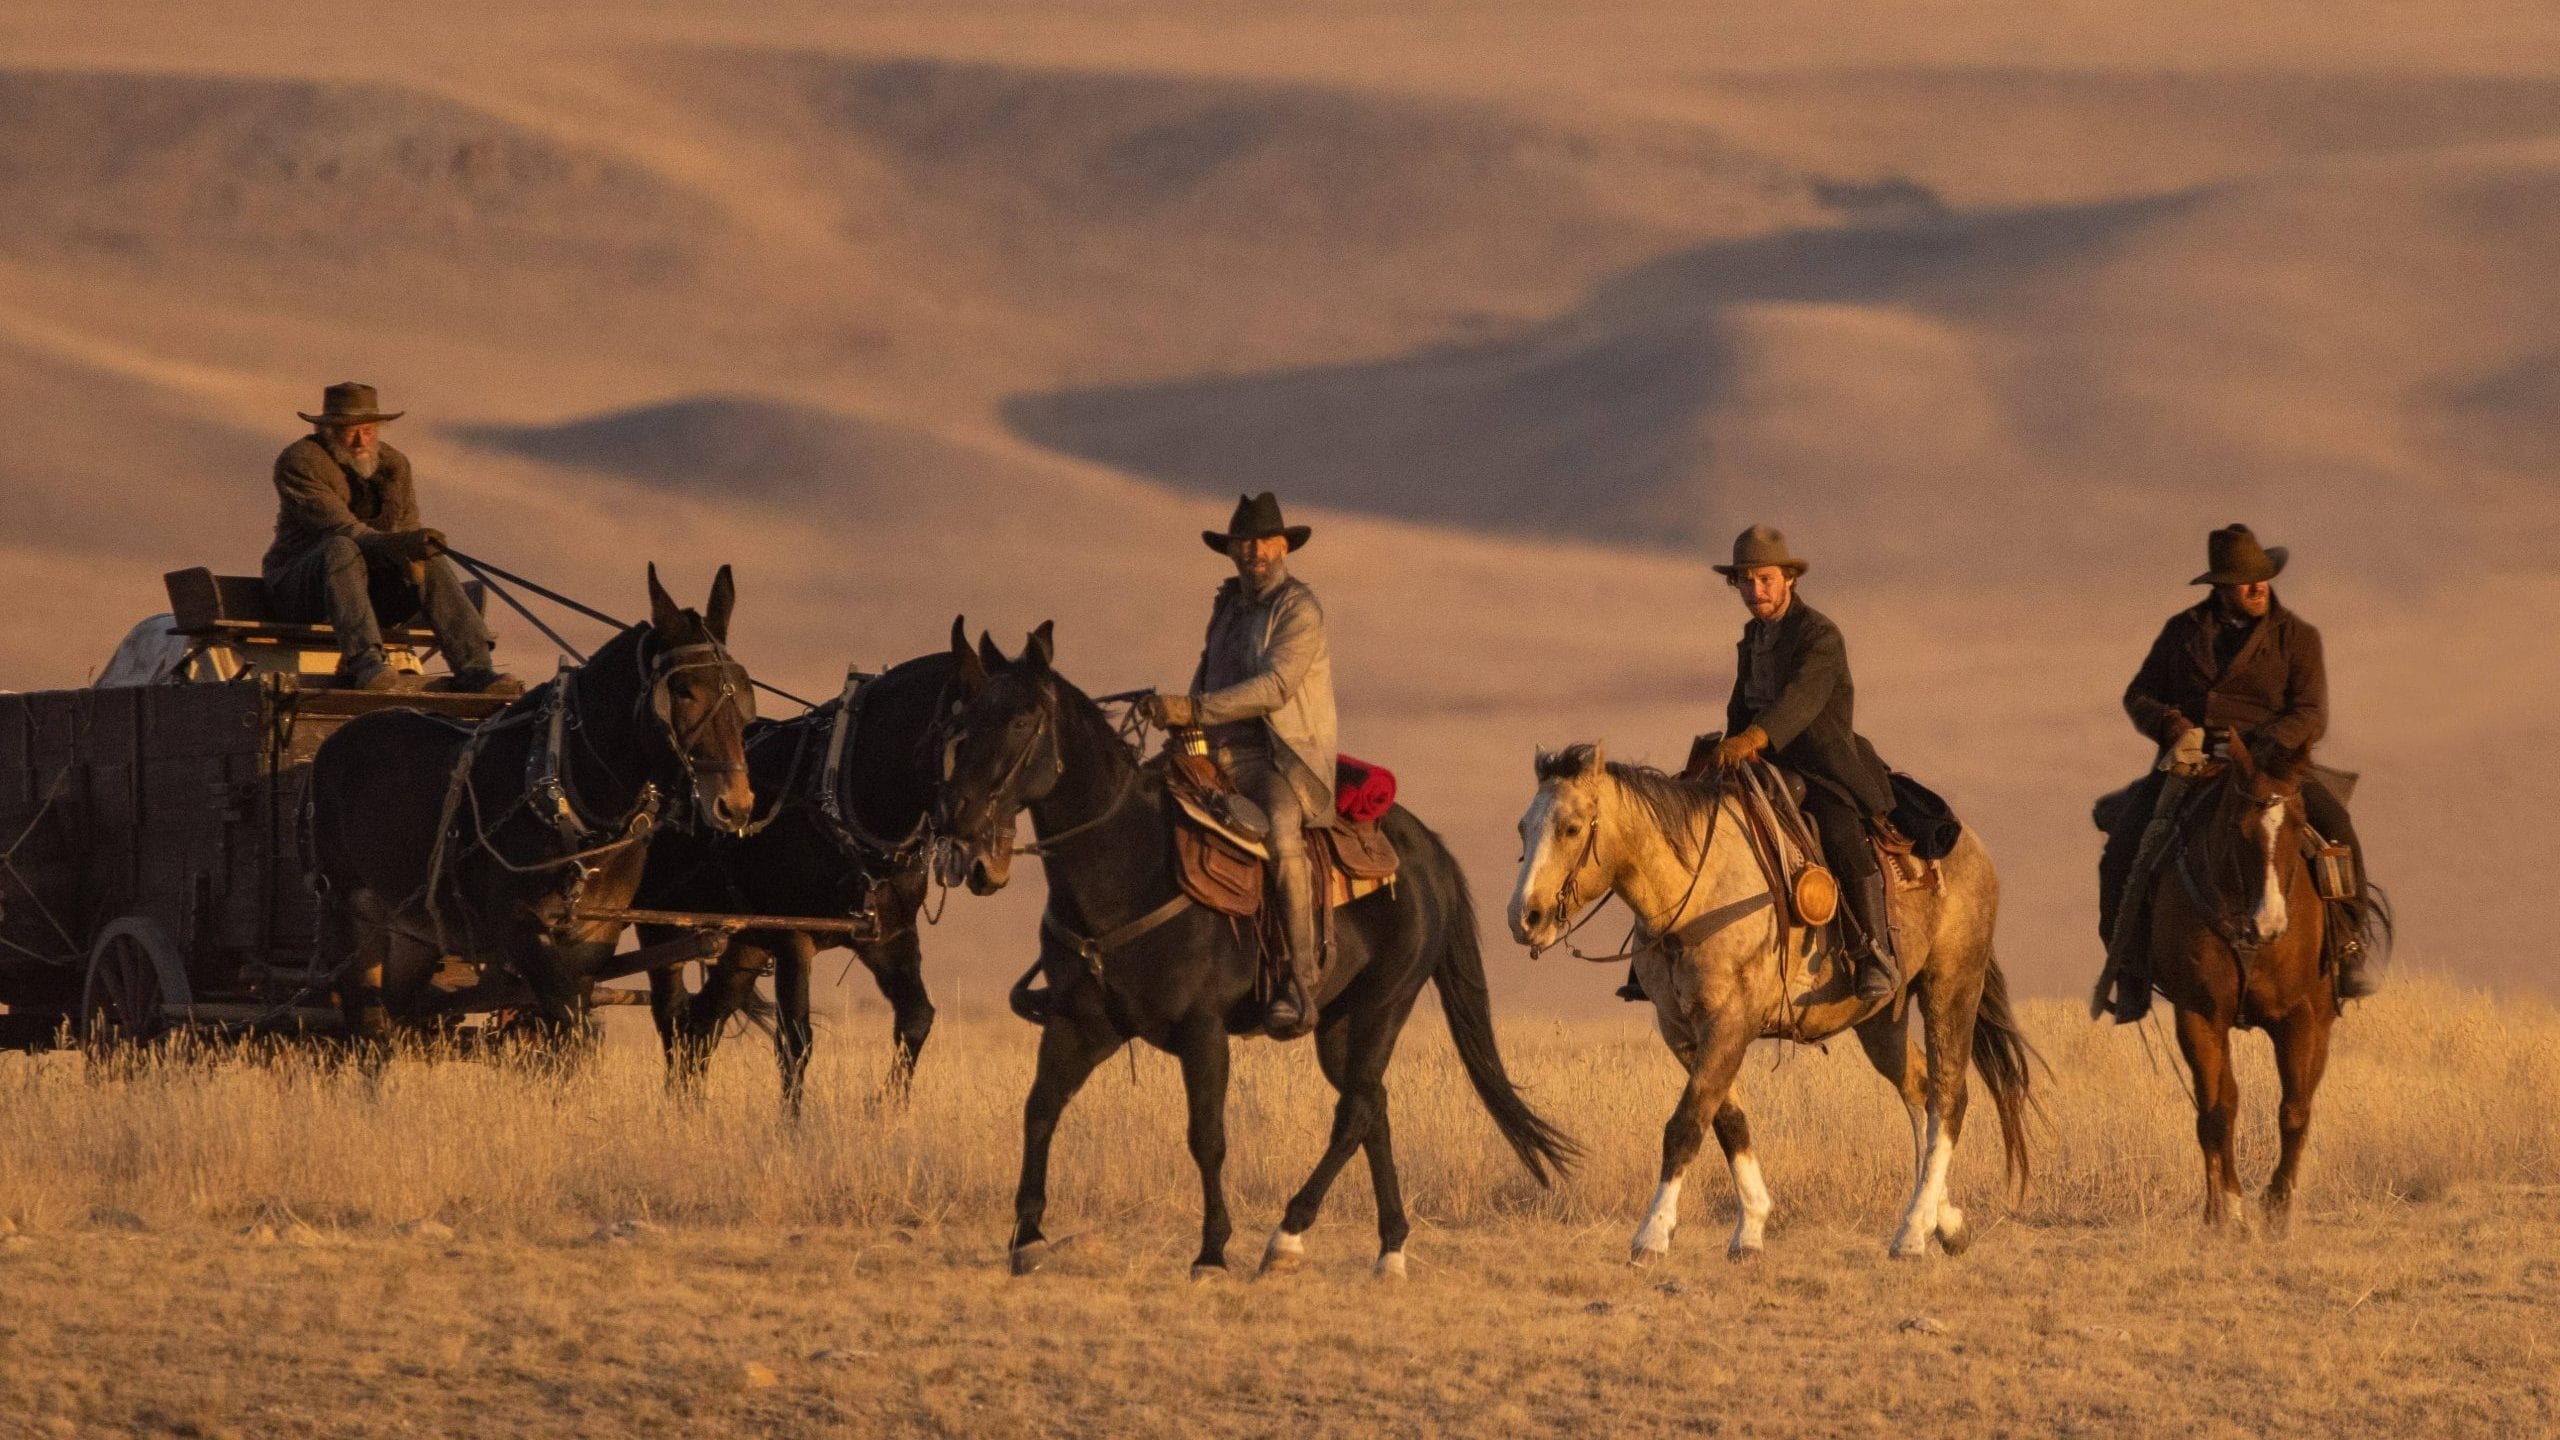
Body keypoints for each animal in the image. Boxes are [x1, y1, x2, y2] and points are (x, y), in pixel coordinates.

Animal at [308, 563, 747, 1055]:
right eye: (685, 690)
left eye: (742, 690)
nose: (735, 803)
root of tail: (337, 739)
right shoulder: (519, 926)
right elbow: (567, 1016)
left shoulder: (592, 937)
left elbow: (567, 1034)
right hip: (350, 910)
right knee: (365, 1019)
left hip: (414, 931)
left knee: (396, 1014)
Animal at [942, 622, 1576, 1270]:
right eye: (964, 717)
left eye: (1023, 718)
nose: (958, 815)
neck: (1128, 868)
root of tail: (1428, 850)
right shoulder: (1080, 1024)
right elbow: (1039, 1110)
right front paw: (1027, 1238)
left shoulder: (1202, 1031)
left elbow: (1207, 1137)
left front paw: (1212, 1251)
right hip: (1339, 1022)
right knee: (1372, 1105)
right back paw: (1390, 1248)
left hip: (1385, 1003)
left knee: (1354, 1111)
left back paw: (1287, 1235)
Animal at [1495, 743, 2037, 1260]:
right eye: (1522, 827)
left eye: (1570, 828)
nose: (1525, 918)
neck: (1697, 890)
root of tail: (1970, 846)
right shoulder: (1683, 1031)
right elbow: (1727, 1120)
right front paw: (1751, 1229)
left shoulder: (1729, 1022)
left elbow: (1686, 1123)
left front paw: (1651, 1235)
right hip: (1881, 1018)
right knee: (1919, 1089)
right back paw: (1945, 1224)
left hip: (1952, 983)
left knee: (1948, 1097)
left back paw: (1911, 1233)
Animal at [2119, 732, 2375, 1229]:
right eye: (2239, 828)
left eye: (2298, 824)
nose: (2269, 925)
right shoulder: (2199, 1016)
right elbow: (2217, 1112)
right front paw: (2226, 1213)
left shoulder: (2298, 1018)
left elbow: (2294, 1110)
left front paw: (2277, 1207)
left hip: (2321, 1022)